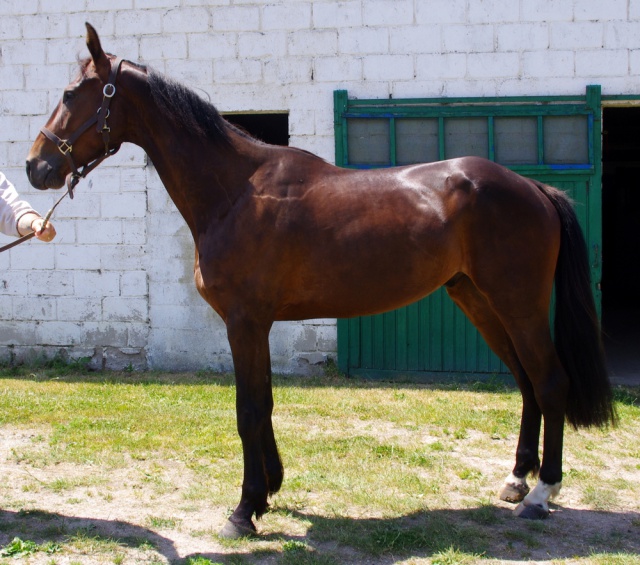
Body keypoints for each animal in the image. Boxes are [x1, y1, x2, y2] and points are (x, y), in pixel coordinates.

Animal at [25, 25, 616, 536]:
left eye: (72, 92)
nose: (36, 167)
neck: (236, 191)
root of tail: (535, 188)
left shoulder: (244, 322)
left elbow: (248, 411)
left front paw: (243, 510)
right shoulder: (256, 325)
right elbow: (262, 404)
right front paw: (269, 491)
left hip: (518, 304)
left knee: (549, 381)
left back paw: (541, 494)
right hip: (480, 301)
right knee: (526, 382)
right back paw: (517, 480)